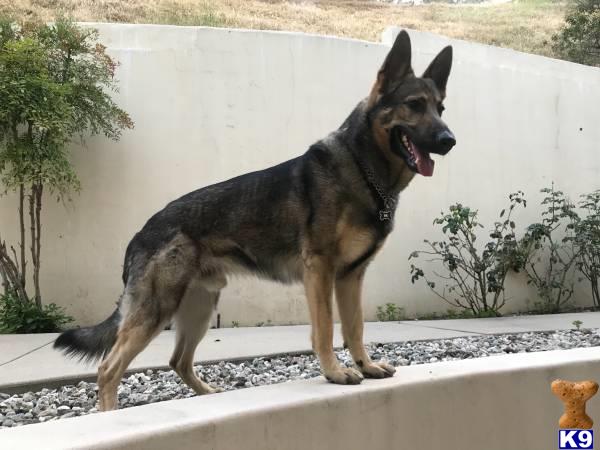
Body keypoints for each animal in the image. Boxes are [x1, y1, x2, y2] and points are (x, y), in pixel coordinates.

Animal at [54, 30, 454, 412]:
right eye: (414, 105)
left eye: (441, 108)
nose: (449, 140)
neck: (363, 167)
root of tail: (140, 233)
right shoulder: (320, 272)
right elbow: (325, 328)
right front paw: (335, 372)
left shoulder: (351, 277)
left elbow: (355, 327)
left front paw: (366, 366)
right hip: (158, 310)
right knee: (108, 369)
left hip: (199, 308)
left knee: (177, 360)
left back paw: (207, 394)